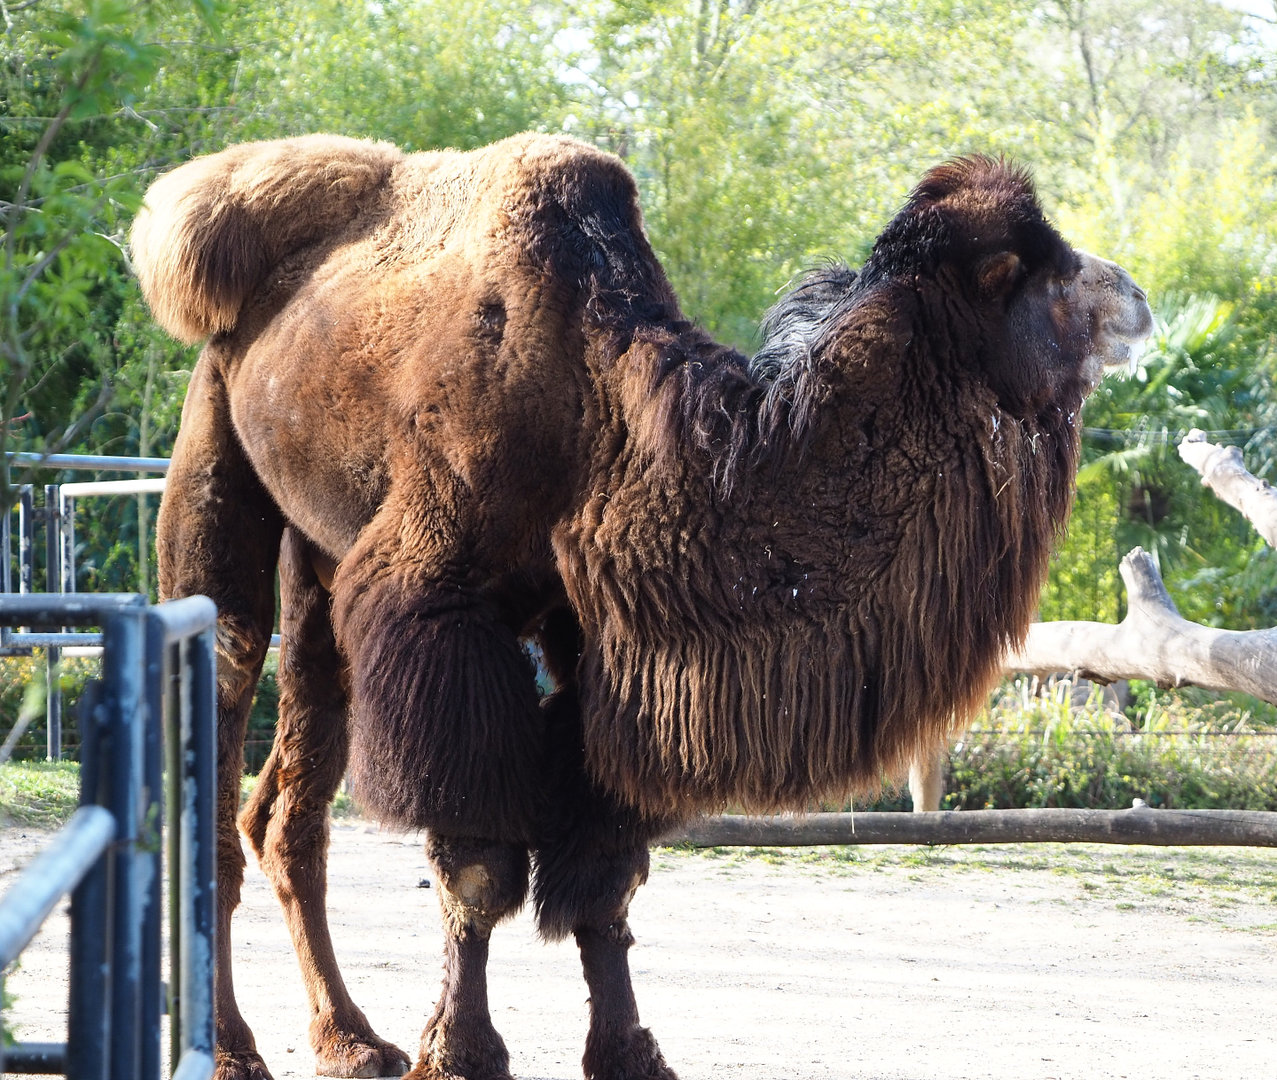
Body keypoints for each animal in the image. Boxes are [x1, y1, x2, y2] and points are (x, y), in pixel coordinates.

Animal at [130, 133, 1153, 1080]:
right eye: (1025, 266)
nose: (1136, 298)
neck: (605, 423)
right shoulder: (435, 604)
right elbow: (479, 862)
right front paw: (462, 1051)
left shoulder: (599, 646)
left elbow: (605, 876)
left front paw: (625, 1051)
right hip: (213, 455)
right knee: (223, 715)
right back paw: (233, 1050)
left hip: (317, 560)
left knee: (287, 809)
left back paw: (349, 1040)